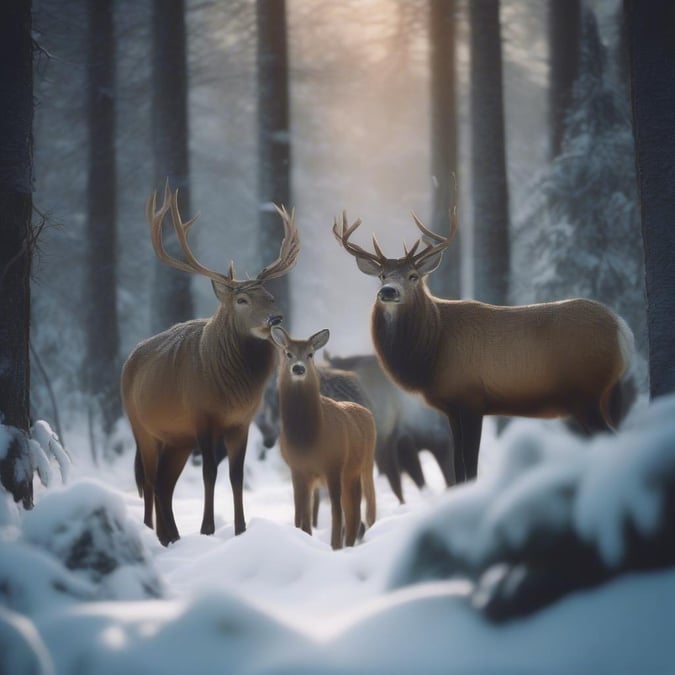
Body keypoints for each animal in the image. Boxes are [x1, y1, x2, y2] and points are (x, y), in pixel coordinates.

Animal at [122, 182, 302, 548]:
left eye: (270, 296)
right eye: (242, 299)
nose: (275, 318)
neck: (230, 390)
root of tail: (128, 362)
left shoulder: (242, 421)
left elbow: (236, 474)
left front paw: (241, 529)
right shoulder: (201, 415)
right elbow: (209, 472)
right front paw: (207, 529)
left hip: (177, 438)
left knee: (164, 483)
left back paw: (171, 536)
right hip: (141, 425)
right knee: (148, 480)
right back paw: (152, 533)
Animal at [270, 326, 378, 548]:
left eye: (310, 354)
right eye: (288, 353)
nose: (299, 369)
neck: (309, 438)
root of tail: (366, 411)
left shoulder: (333, 465)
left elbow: (336, 512)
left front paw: (334, 546)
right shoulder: (298, 469)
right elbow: (300, 515)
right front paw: (303, 538)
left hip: (361, 467)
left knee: (359, 511)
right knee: (351, 512)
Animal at [336, 209, 636, 484]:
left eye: (412, 275)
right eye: (382, 275)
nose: (388, 292)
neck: (433, 349)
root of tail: (622, 328)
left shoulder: (471, 397)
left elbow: (470, 465)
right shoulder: (451, 407)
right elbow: (458, 467)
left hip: (588, 393)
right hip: (602, 396)